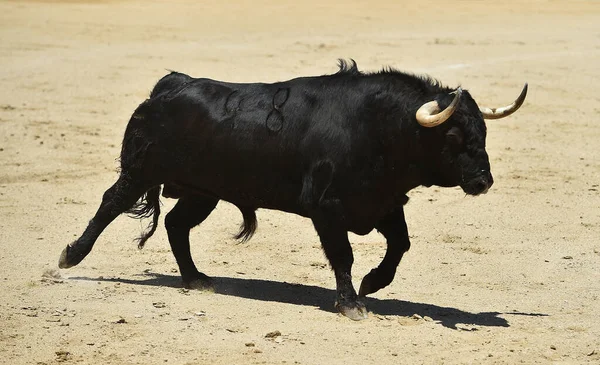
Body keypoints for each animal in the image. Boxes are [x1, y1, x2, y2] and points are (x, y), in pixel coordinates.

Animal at [57, 59, 524, 318]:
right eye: (454, 137)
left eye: (483, 132)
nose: (483, 181)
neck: (381, 128)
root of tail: (171, 85)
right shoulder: (328, 208)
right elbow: (343, 255)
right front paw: (351, 303)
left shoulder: (382, 203)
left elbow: (400, 244)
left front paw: (373, 283)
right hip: (140, 170)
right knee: (111, 203)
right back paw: (70, 256)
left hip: (203, 191)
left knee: (176, 224)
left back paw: (195, 279)